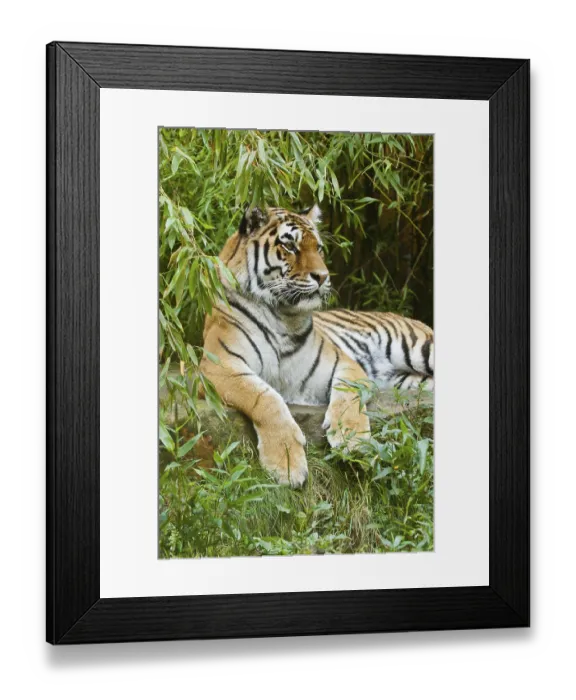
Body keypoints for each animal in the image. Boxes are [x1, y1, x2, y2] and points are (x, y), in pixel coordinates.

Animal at [200, 204, 434, 487]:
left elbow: (348, 394)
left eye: (319, 248)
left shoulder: (343, 363)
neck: (283, 315)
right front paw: (286, 463)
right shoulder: (220, 365)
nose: (323, 277)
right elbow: (265, 398)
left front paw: (352, 440)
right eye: (290, 246)